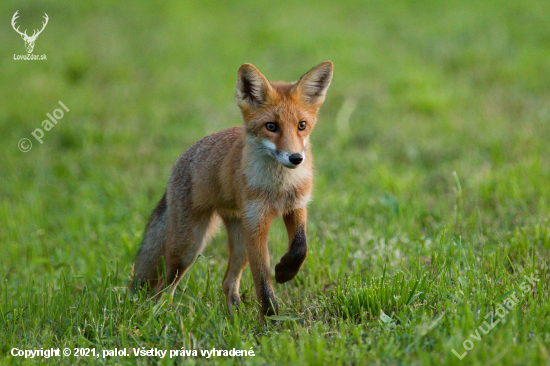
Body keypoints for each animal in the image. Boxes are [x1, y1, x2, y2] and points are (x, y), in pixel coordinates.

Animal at [134, 61, 334, 318]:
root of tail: (180, 160)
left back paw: (234, 317)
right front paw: (271, 319)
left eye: (302, 125)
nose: (296, 158)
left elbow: (301, 247)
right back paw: (158, 314)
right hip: (188, 247)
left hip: (238, 242)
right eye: (271, 126)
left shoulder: (296, 206)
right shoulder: (256, 225)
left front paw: (284, 272)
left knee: (227, 282)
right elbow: (262, 281)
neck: (278, 189)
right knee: (162, 288)